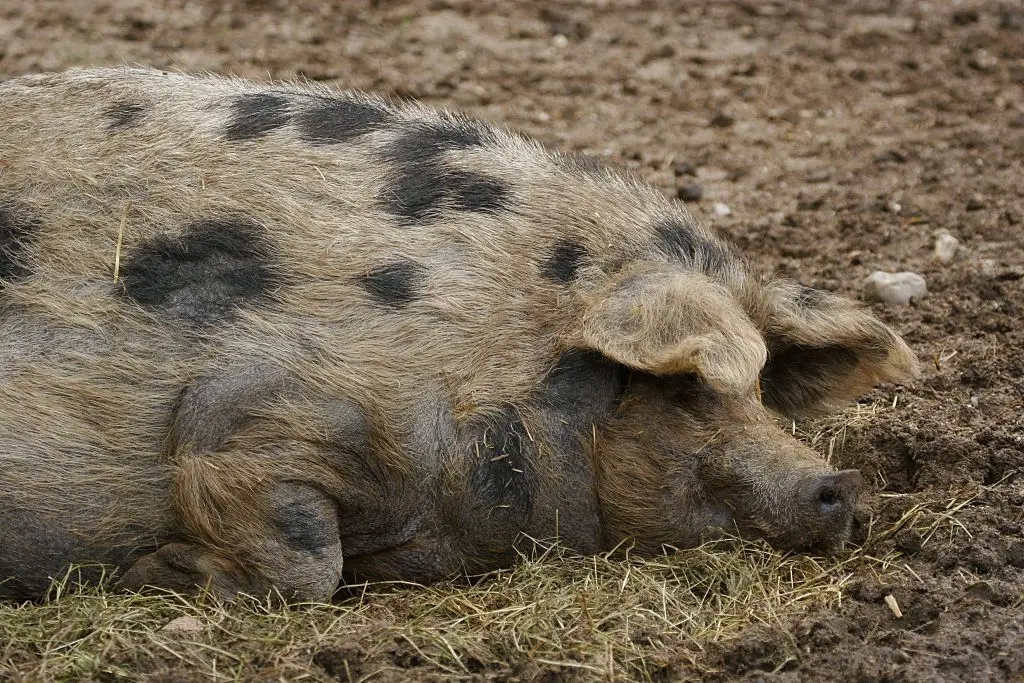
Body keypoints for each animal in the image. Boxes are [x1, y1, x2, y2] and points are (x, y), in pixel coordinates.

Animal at [0, 68, 918, 602]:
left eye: (763, 388)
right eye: (688, 384)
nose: (839, 484)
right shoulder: (255, 412)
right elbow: (306, 560)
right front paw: (150, 572)